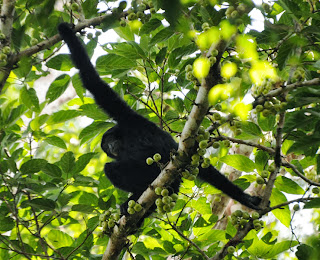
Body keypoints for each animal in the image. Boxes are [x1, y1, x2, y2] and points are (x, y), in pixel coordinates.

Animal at [58, 22, 262, 219]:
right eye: (107, 146)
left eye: (109, 142)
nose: (111, 147)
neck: (125, 136)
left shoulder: (127, 117)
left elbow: (93, 82)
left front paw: (66, 31)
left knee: (111, 168)